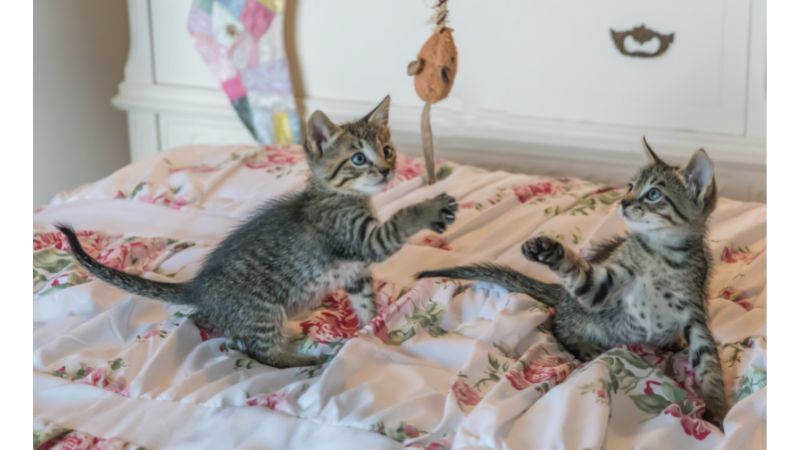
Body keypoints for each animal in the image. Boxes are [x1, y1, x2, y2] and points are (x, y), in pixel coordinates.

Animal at [56, 96, 456, 368]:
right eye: (358, 159)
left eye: (387, 150)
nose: (386, 171)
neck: (339, 195)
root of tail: (199, 287)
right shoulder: (359, 238)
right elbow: (401, 219)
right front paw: (431, 206)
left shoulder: (355, 273)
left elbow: (365, 303)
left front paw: (373, 331)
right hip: (263, 309)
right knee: (260, 353)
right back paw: (305, 361)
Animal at [416, 141, 728, 426]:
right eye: (630, 186)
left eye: (653, 194)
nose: (623, 202)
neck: (660, 254)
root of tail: (563, 297)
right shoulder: (604, 287)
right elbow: (580, 274)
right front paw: (548, 250)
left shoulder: (693, 311)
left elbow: (708, 361)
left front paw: (717, 410)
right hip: (580, 313)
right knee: (559, 325)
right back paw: (585, 345)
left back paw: (671, 343)